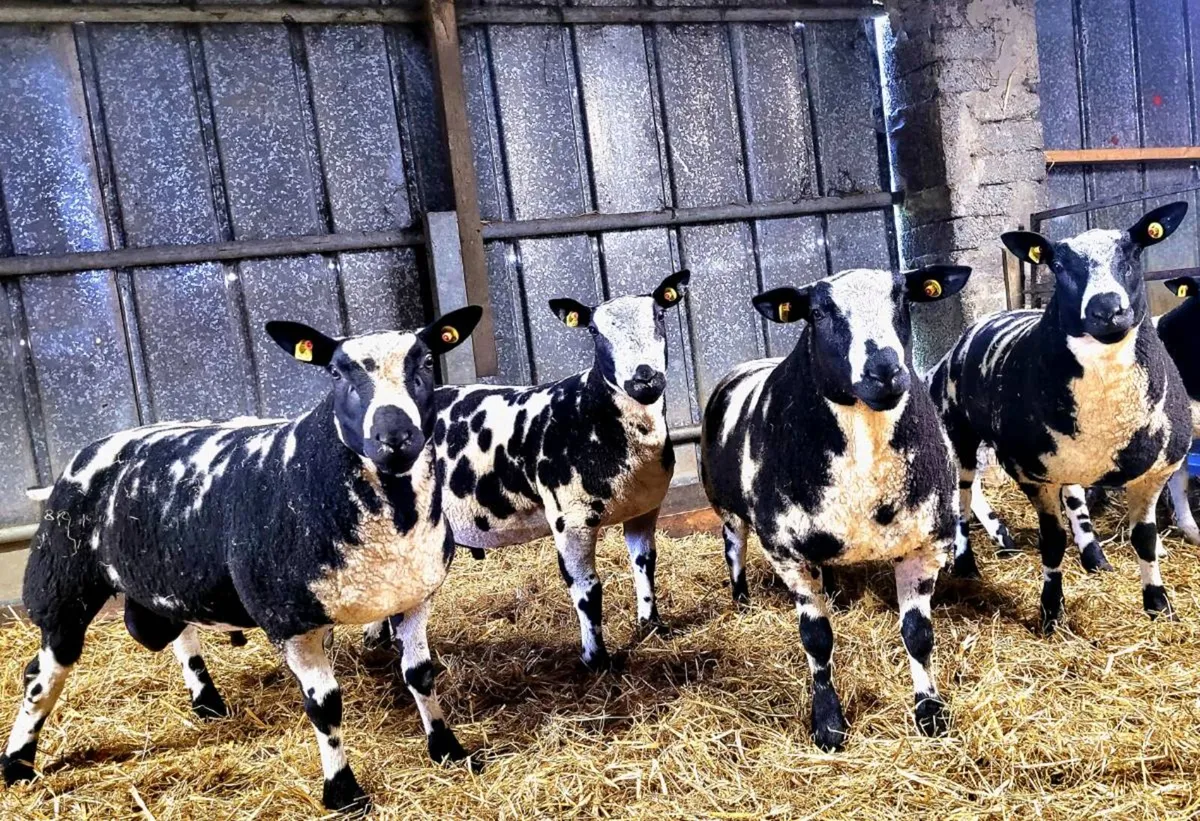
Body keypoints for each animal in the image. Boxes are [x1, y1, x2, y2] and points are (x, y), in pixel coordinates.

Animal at [1, 307, 482, 814]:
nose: (395, 438)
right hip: (60, 584)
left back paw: (207, 700)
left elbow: (420, 675)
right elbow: (325, 706)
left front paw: (449, 750)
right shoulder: (290, 620)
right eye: (336, 373)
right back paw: (17, 763)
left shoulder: (414, 598)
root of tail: (91, 449)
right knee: (40, 676)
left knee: (180, 630)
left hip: (170, 578)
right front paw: (343, 791)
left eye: (426, 362)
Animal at [369, 271, 690, 672]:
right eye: (594, 332)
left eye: (659, 316)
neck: (594, 414)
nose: (644, 379)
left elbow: (645, 564)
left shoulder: (645, 509)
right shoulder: (570, 519)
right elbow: (587, 588)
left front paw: (651, 625)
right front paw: (595, 659)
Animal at [701, 264, 972, 750]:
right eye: (819, 312)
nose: (885, 370)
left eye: (903, 297)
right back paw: (743, 602)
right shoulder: (787, 551)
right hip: (729, 513)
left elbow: (919, 636)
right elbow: (817, 639)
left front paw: (930, 712)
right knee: (735, 553)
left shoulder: (926, 544)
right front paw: (828, 724)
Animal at [929, 202, 1192, 633]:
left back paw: (1095, 557)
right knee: (964, 500)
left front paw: (1159, 605)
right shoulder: (1030, 472)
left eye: (1132, 253)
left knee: (1073, 495)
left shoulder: (1157, 470)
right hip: (959, 436)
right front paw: (1051, 614)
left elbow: (1146, 540)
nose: (1107, 309)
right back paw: (966, 566)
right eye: (1058, 265)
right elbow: (1051, 544)